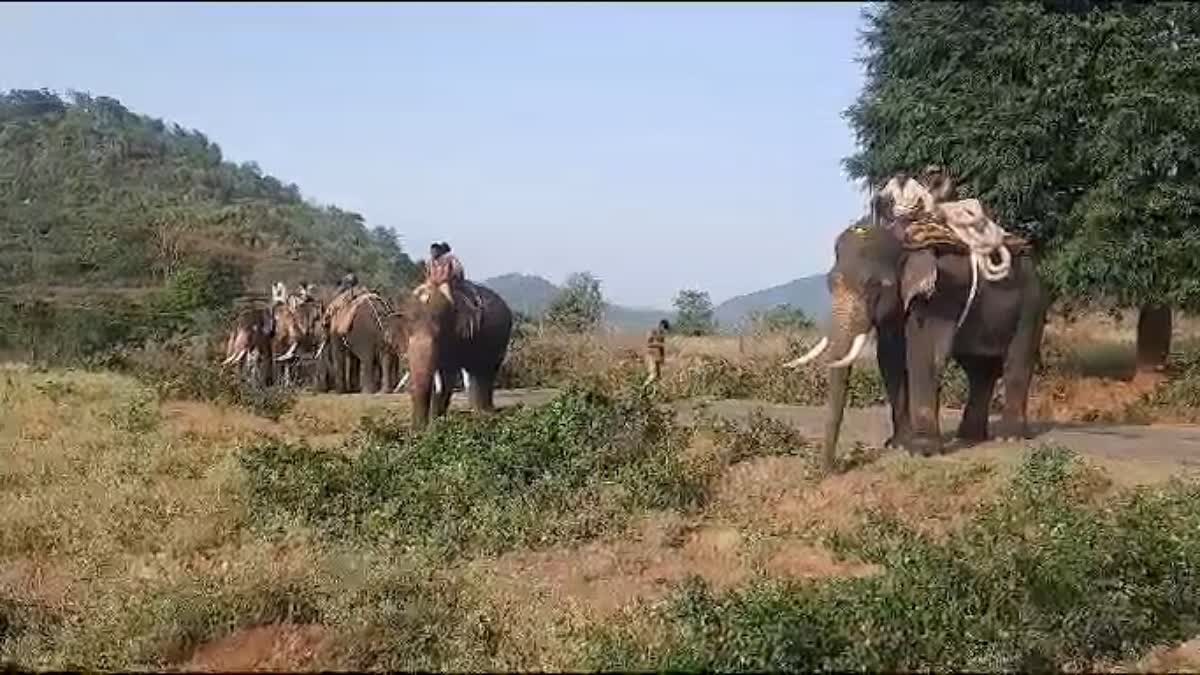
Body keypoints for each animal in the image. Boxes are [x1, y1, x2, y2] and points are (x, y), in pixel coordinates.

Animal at [386, 277, 513, 425]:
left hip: (500, 340)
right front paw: (435, 420)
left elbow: (448, 374)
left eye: (439, 335)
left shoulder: (457, 338)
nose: (418, 428)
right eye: (408, 334)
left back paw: (485, 413)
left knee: (485, 371)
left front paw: (437, 420)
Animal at [787, 210, 1041, 468]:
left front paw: (922, 451)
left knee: (1016, 362)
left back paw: (1009, 437)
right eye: (830, 283)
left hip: (1031, 304)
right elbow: (890, 359)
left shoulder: (940, 294)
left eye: (877, 286)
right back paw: (969, 437)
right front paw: (898, 445)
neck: (903, 239)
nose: (832, 467)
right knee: (979, 370)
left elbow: (926, 353)